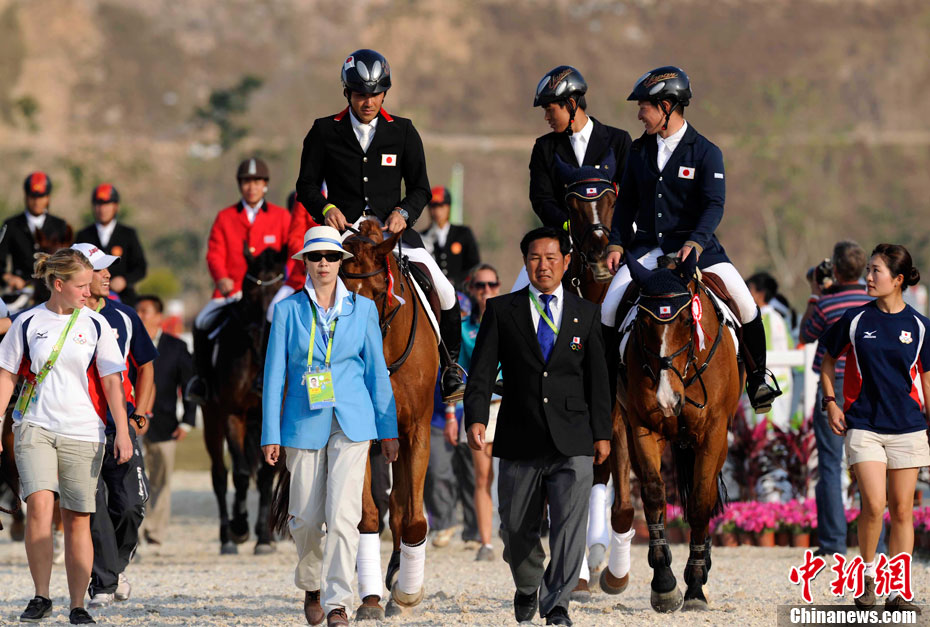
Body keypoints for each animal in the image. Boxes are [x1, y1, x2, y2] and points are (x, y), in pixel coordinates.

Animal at [201, 245, 287, 555]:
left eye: (279, 289)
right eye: (249, 291)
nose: (261, 334)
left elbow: (265, 475)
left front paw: (264, 537)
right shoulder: (232, 413)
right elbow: (238, 473)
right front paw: (239, 528)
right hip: (211, 419)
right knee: (219, 474)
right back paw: (227, 536)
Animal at [599, 252, 742, 612]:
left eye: (687, 322)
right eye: (642, 324)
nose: (667, 399)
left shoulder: (713, 433)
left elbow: (701, 501)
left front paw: (695, 584)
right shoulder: (642, 427)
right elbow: (653, 494)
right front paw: (664, 583)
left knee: (706, 492)